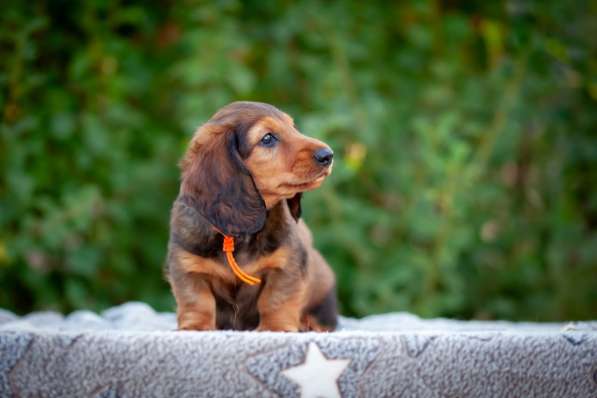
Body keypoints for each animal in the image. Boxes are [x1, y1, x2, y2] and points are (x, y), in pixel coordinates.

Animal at [165, 101, 338, 332]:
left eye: (293, 127)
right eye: (267, 138)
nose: (328, 155)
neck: (238, 237)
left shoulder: (286, 264)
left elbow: (275, 298)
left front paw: (276, 327)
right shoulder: (187, 266)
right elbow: (196, 300)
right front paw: (195, 327)